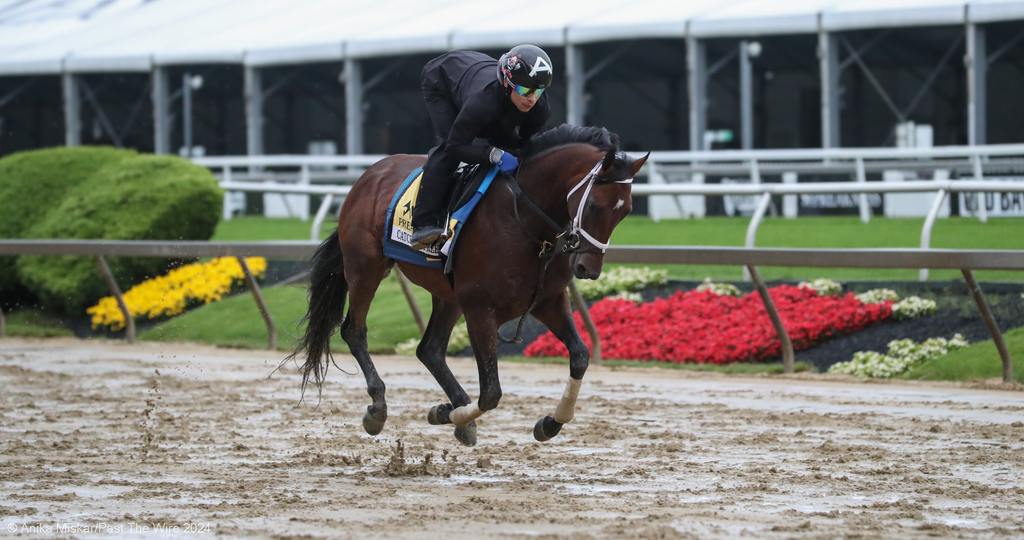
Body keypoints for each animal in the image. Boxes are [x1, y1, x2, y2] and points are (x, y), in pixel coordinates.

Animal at [290, 123, 647, 448]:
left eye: (626, 211)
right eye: (595, 206)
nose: (588, 267)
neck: (526, 222)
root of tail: (366, 177)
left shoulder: (548, 300)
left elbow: (580, 356)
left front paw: (550, 422)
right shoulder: (479, 309)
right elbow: (491, 393)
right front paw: (447, 413)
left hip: (446, 294)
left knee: (430, 349)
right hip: (365, 268)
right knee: (354, 330)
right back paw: (379, 407)